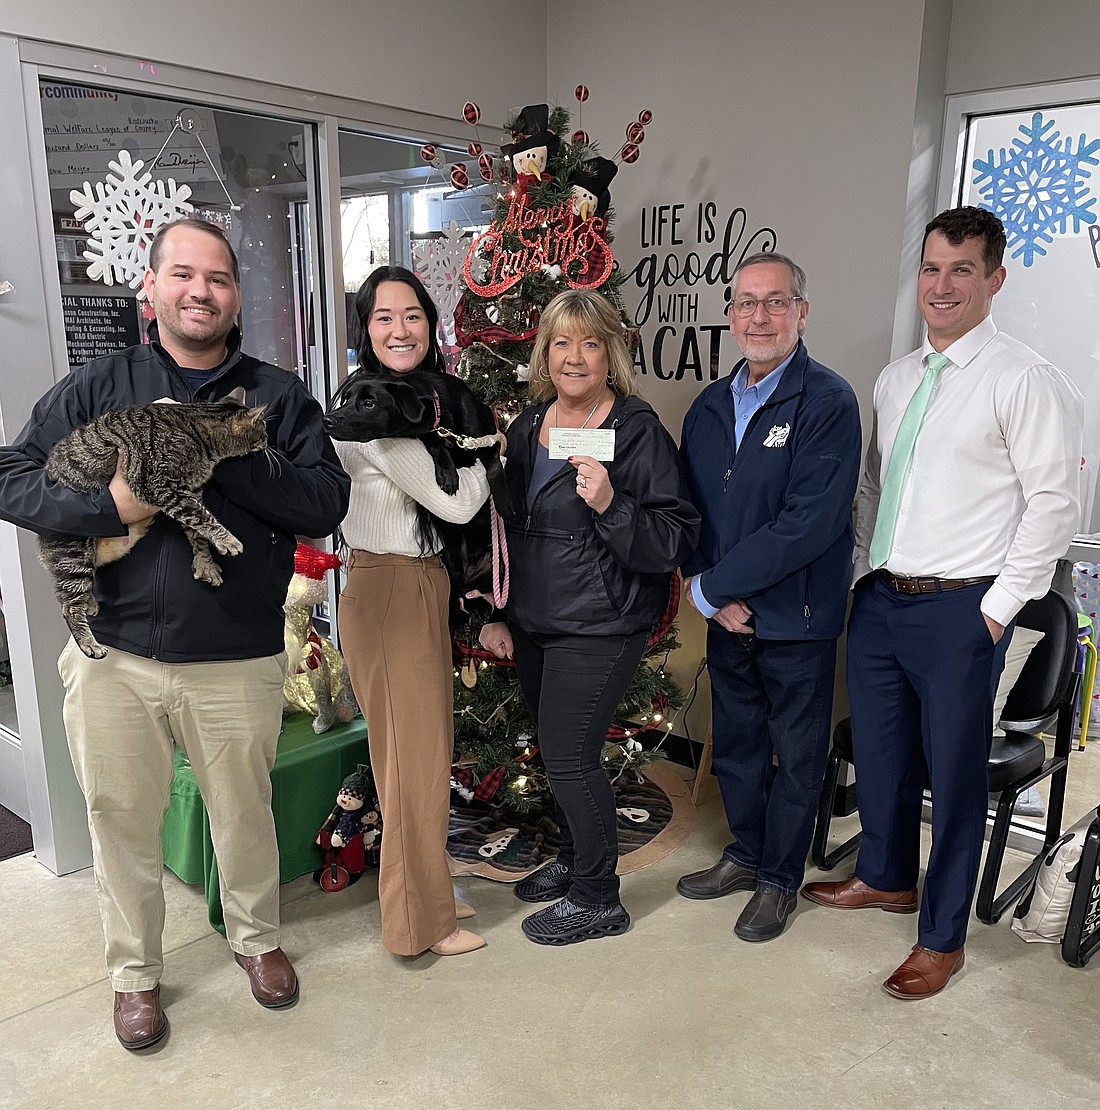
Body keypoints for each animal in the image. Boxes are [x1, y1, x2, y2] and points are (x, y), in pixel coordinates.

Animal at [41, 388, 269, 657]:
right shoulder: (161, 487)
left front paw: (206, 562)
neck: (198, 432)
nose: (268, 440)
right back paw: (90, 644)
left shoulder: (189, 492)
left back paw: (91, 600)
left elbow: (197, 531)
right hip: (73, 553)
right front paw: (227, 539)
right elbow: (204, 518)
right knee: (68, 607)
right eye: (263, 428)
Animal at [326, 370, 512, 630]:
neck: (443, 420)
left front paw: (504, 502)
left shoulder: (489, 438)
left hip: (500, 563)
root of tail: (471, 571)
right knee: (461, 590)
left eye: (369, 403)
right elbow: (434, 444)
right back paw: (474, 606)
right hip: (450, 559)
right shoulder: (429, 436)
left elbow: (494, 466)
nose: (327, 419)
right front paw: (447, 472)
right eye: (346, 399)